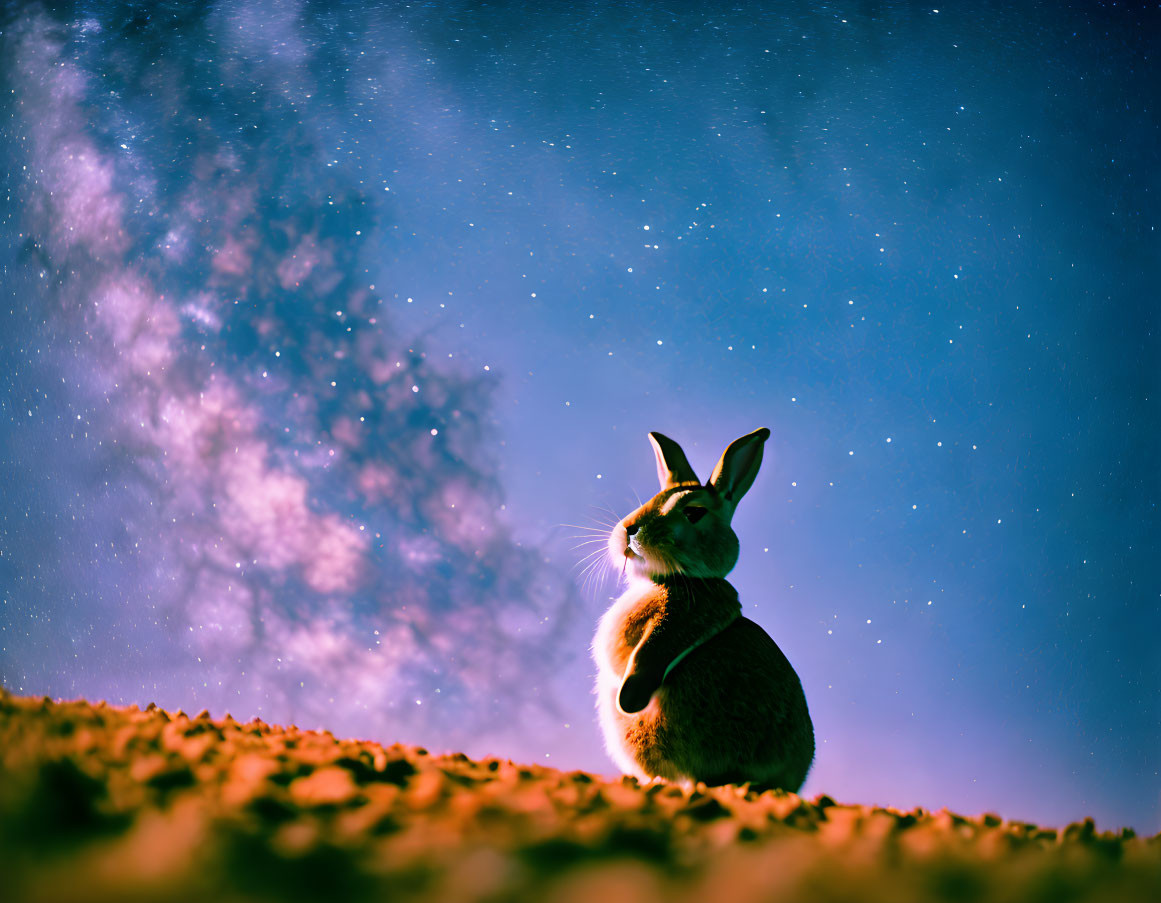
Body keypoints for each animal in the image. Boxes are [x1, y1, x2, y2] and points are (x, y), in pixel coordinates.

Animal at [594, 427, 812, 789]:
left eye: (694, 512)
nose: (629, 529)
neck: (672, 578)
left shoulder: (685, 616)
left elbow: (654, 651)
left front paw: (630, 698)